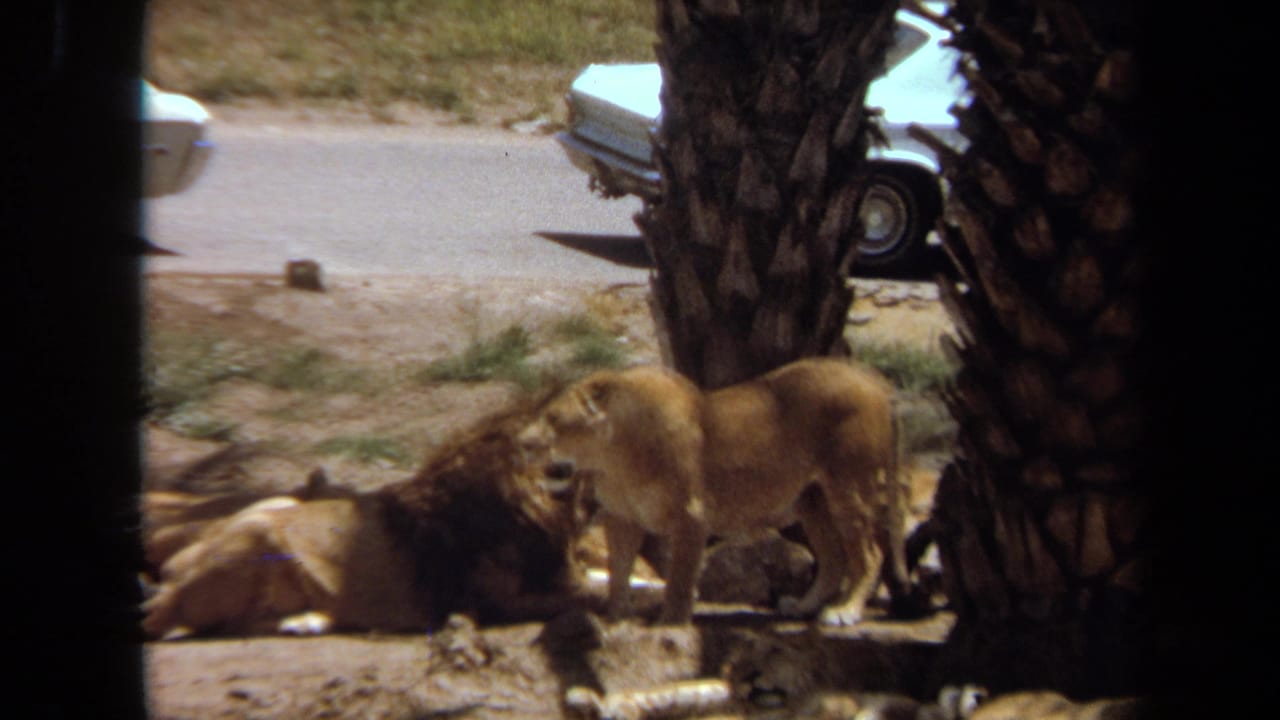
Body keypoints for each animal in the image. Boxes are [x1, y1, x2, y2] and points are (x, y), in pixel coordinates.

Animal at [517, 357, 911, 625]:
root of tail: (870, 376)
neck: (612, 456)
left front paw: (670, 623)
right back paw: (801, 606)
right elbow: (619, 570)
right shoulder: (622, 518)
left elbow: (679, 577)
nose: (522, 441)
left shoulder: (691, 515)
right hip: (812, 502)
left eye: (553, 418)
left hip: (850, 487)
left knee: (870, 555)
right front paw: (616, 616)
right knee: (833, 560)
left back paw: (845, 611)